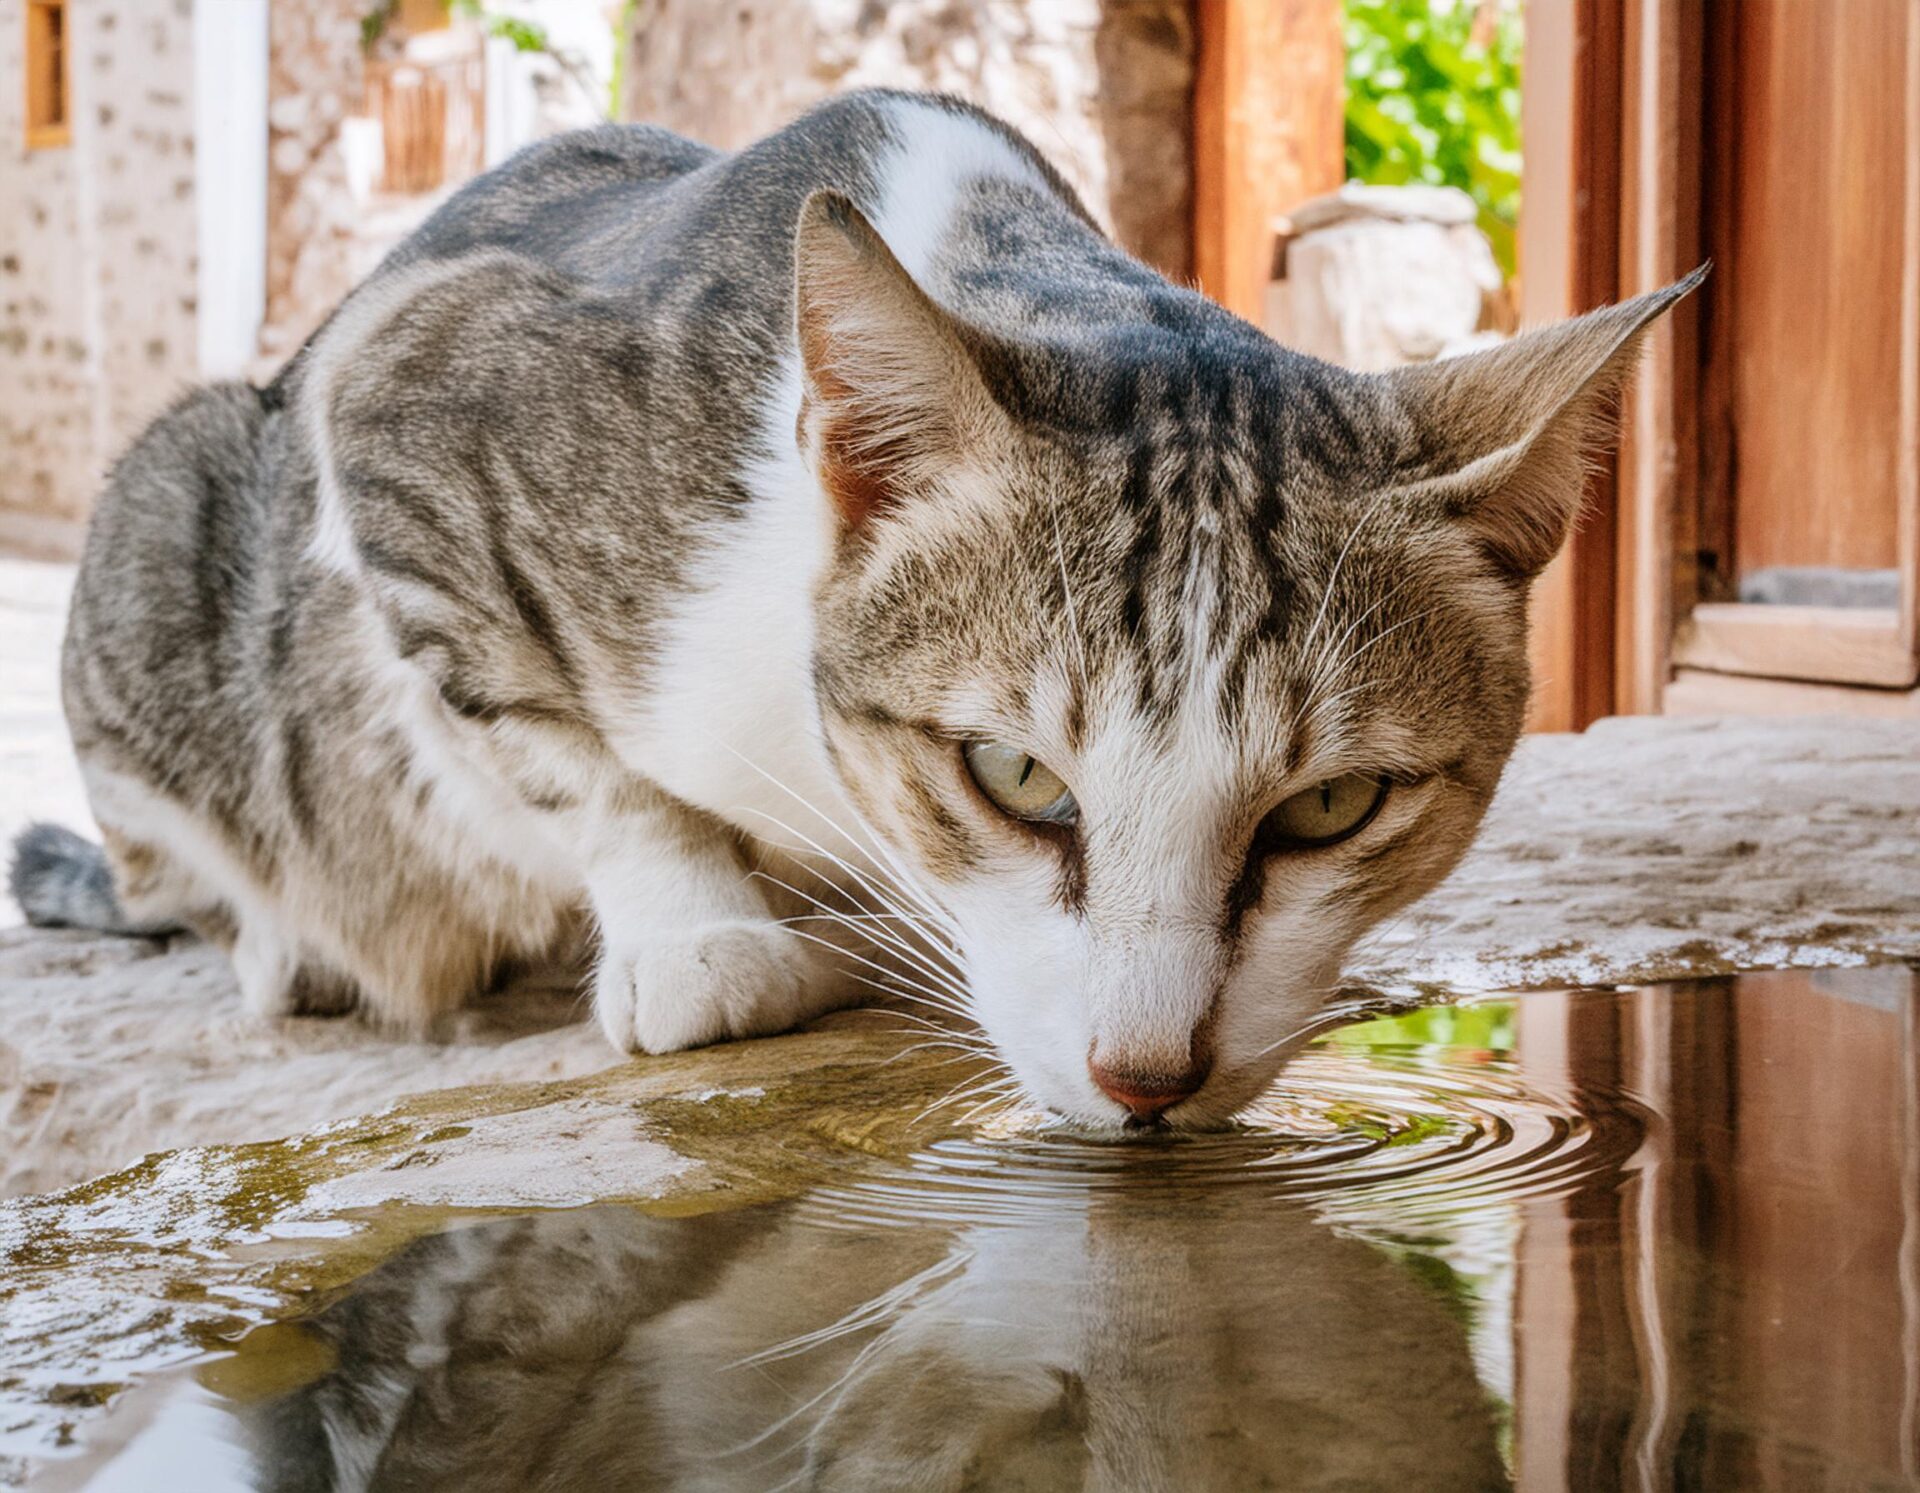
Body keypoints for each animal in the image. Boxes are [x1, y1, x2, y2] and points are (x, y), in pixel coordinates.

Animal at [11, 90, 1697, 1128]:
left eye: (1334, 807)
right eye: (1014, 777)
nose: (1147, 1074)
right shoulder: (405, 399)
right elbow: (572, 756)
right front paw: (702, 933)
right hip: (171, 518)